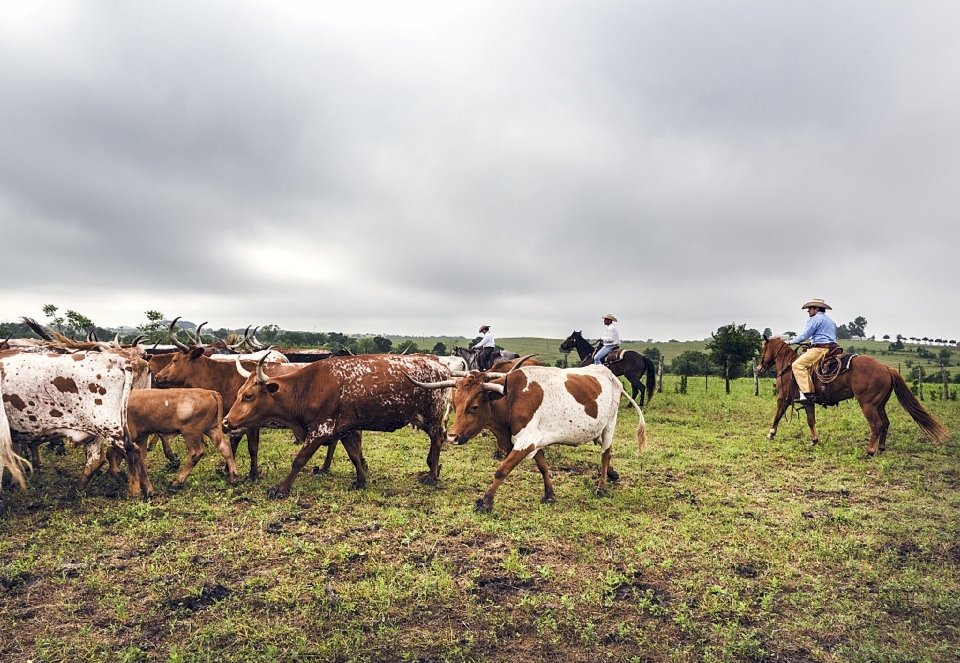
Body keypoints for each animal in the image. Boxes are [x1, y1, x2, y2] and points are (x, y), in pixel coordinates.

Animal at [0, 352, 152, 498]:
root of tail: (116, 360)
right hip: (96, 430)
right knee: (97, 460)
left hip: (108, 428)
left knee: (132, 451)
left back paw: (136, 490)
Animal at [224, 356, 450, 496]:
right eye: (238, 393)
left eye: (248, 396)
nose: (226, 421)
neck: (308, 387)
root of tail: (441, 367)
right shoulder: (346, 429)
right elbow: (355, 455)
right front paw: (361, 481)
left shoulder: (319, 430)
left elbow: (299, 460)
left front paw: (281, 489)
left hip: (432, 415)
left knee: (438, 438)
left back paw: (432, 475)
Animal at [410, 364, 644, 512]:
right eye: (455, 404)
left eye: (474, 407)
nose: (452, 437)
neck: (511, 398)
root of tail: (611, 375)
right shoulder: (535, 442)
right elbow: (543, 467)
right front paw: (549, 495)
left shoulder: (525, 442)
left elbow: (501, 470)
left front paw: (486, 502)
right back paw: (612, 475)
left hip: (609, 426)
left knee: (606, 453)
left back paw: (602, 486)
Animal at [756, 338, 952, 456]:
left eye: (763, 349)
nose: (759, 368)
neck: (789, 367)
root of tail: (886, 368)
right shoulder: (807, 402)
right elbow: (811, 421)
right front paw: (814, 441)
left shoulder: (783, 398)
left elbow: (777, 416)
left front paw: (770, 434)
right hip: (879, 405)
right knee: (885, 423)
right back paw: (880, 448)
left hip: (867, 404)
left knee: (877, 425)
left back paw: (869, 451)